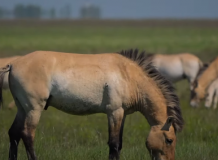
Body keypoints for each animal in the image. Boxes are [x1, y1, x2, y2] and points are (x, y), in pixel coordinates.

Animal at [0, 49, 184, 159]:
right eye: (169, 140)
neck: (128, 76)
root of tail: (13, 64)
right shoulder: (114, 112)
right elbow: (114, 144)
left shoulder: (122, 114)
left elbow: (119, 144)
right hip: (34, 109)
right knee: (27, 135)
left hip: (22, 109)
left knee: (14, 134)